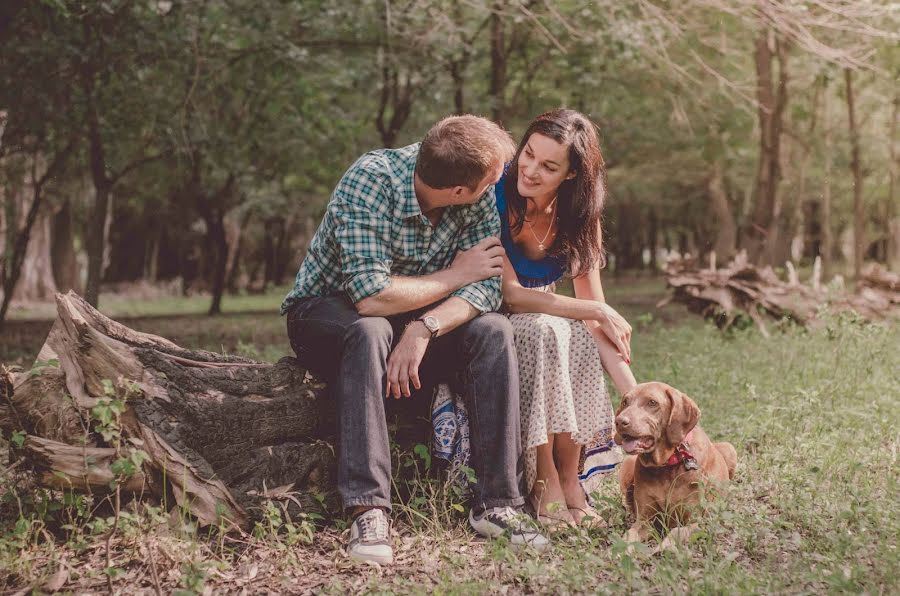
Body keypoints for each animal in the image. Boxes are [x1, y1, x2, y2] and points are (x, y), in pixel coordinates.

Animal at [616, 384, 736, 548]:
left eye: (652, 402)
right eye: (625, 402)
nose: (619, 421)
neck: (666, 465)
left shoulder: (695, 522)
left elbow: (674, 534)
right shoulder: (644, 522)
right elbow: (627, 538)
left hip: (730, 448)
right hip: (628, 462)